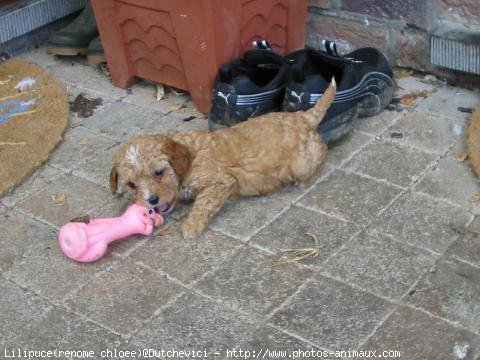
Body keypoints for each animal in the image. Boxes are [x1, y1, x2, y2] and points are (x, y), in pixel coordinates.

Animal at [110, 78, 336, 239]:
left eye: (159, 173)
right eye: (131, 184)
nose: (151, 201)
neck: (188, 156)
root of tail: (300, 116)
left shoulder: (221, 182)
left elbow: (203, 203)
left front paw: (192, 226)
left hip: (302, 163)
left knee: (322, 151)